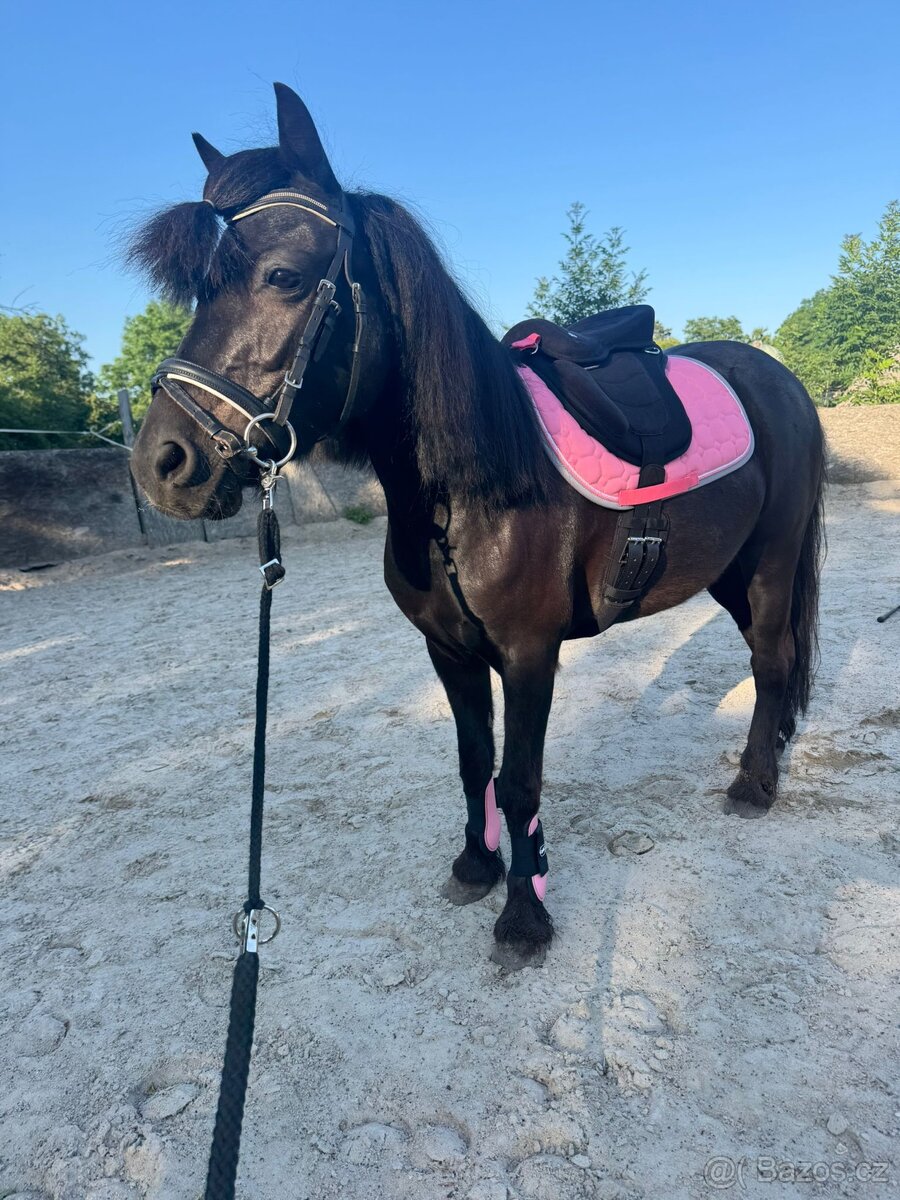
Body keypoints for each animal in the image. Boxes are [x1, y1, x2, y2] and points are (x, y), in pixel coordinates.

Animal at [130, 83, 826, 969]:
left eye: (283, 276)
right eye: (200, 291)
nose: (162, 464)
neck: (465, 493)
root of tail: (777, 376)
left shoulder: (530, 655)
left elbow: (520, 781)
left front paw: (524, 916)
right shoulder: (449, 651)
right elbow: (473, 764)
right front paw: (476, 866)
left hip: (770, 562)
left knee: (772, 661)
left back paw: (752, 785)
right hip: (726, 572)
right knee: (777, 661)